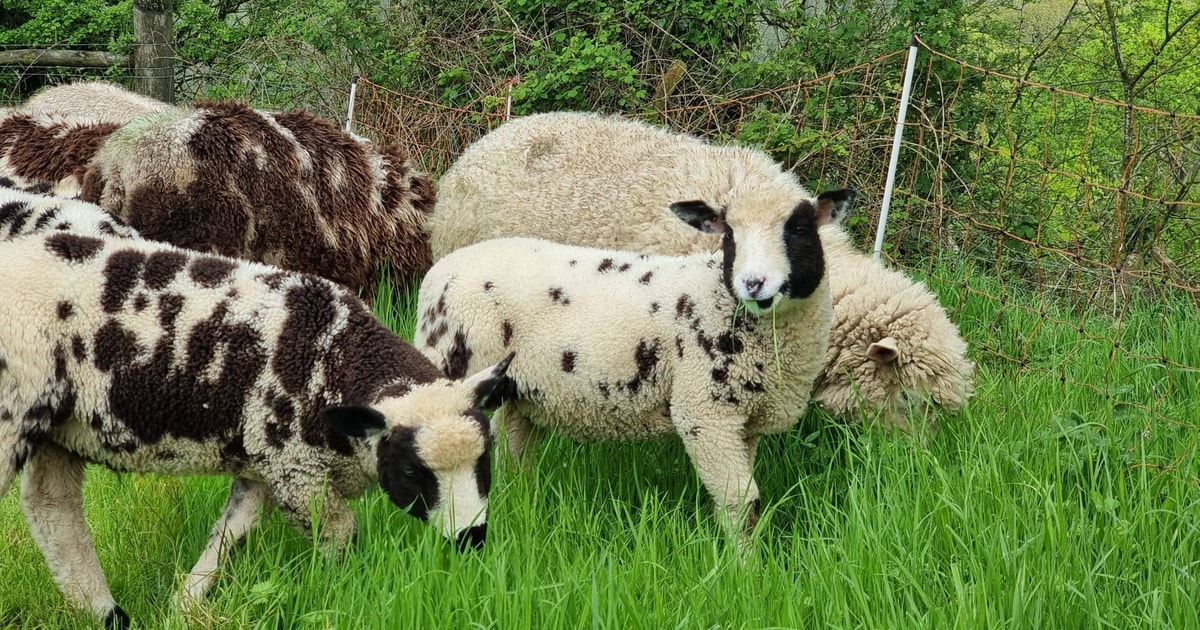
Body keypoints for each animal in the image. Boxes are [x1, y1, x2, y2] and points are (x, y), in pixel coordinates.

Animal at [0, 231, 512, 628]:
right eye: (410, 473)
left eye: (485, 458)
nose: (470, 538)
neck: (335, 360)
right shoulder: (294, 466)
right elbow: (340, 535)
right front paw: (344, 591)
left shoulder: (265, 460)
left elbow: (230, 536)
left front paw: (183, 609)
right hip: (13, 411)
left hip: (57, 428)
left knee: (52, 510)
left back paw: (105, 613)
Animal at [415, 189, 851, 543]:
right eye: (729, 235)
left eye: (799, 229)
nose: (753, 283)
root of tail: (440, 270)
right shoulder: (705, 414)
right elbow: (742, 505)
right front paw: (745, 570)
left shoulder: (744, 423)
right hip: (448, 368)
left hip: (517, 393)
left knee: (512, 454)